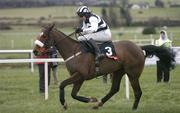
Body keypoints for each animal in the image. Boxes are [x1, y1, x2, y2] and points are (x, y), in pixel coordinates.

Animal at [33, 23, 175, 110]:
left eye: (44, 35)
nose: (35, 51)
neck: (73, 50)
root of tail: (140, 48)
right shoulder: (79, 77)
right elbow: (73, 94)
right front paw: (92, 100)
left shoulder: (80, 75)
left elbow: (62, 85)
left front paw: (64, 103)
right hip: (118, 71)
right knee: (114, 89)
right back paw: (99, 103)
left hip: (133, 73)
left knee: (138, 92)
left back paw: (134, 108)